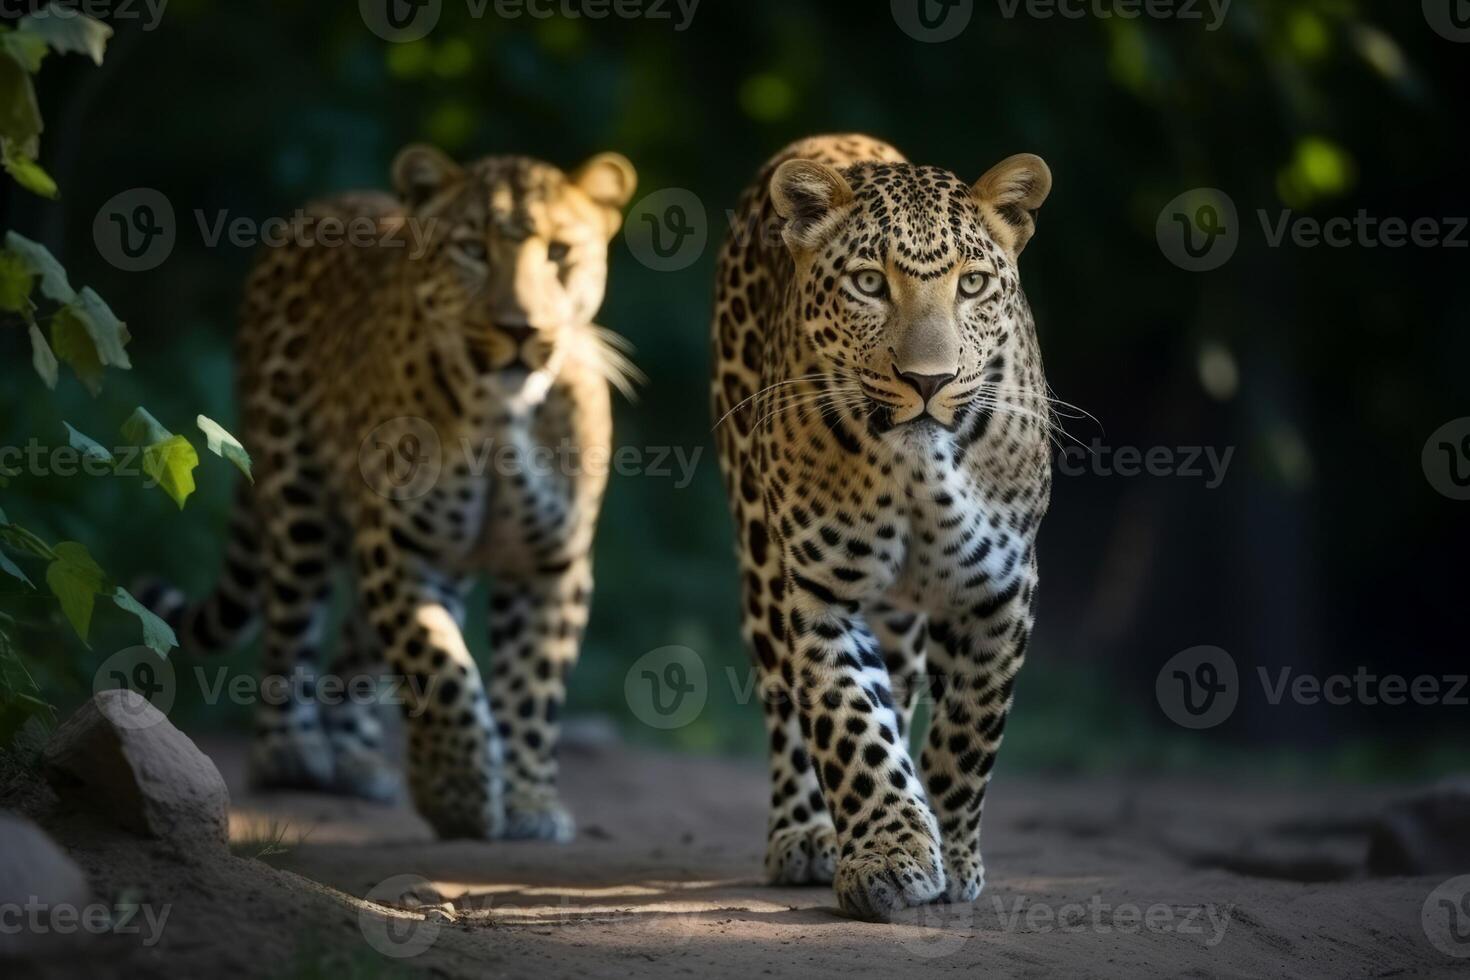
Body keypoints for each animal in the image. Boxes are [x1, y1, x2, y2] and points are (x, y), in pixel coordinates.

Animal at [138, 145, 637, 846]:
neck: (502, 416)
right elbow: (438, 666)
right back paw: (291, 752)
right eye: (472, 249)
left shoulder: (551, 563)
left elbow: (531, 686)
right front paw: (457, 795)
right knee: (292, 626)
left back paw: (357, 760)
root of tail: (325, 202)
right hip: (298, 503)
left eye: (560, 252)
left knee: (357, 644)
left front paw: (529, 803)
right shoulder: (400, 544)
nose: (519, 328)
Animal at [711, 134, 1058, 922]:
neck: (917, 470)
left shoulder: (999, 589)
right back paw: (806, 833)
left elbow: (966, 734)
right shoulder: (819, 592)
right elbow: (851, 725)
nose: (929, 381)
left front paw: (951, 857)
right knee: (788, 709)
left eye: (971, 285)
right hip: (760, 552)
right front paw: (889, 856)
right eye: (870, 283)